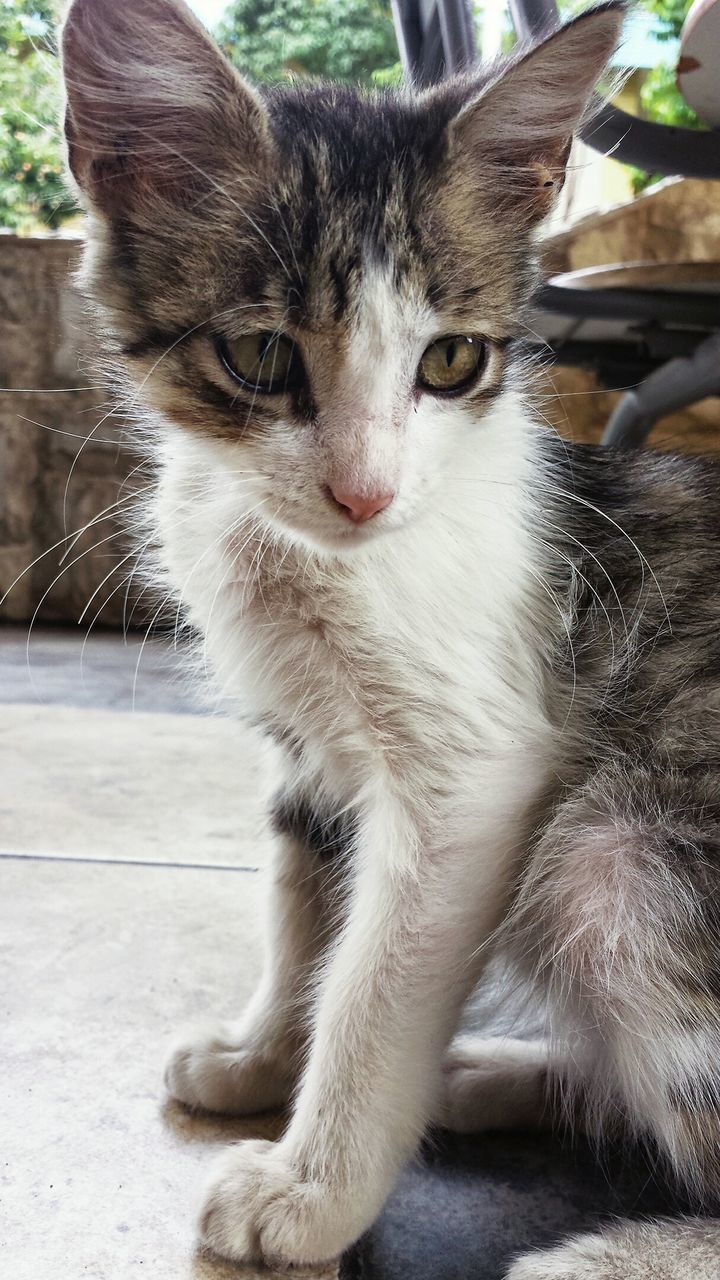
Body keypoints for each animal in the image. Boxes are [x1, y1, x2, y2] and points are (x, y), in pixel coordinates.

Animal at [57, 2, 720, 1269]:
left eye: (451, 360)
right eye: (261, 355)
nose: (364, 494)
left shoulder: (479, 767)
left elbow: (376, 981)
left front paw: (309, 1189)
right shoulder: (303, 737)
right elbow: (304, 903)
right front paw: (260, 1057)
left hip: (620, 859)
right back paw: (504, 1075)